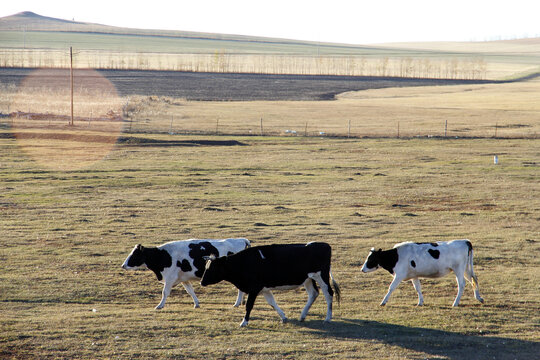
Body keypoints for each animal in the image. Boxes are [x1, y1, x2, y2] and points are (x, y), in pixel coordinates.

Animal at [121, 239, 250, 310]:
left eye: (135, 254)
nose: (123, 265)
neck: (163, 255)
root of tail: (242, 239)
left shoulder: (170, 278)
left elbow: (165, 292)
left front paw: (159, 306)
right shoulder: (183, 279)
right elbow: (190, 291)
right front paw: (196, 304)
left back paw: (236, 303)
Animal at [200, 242, 340, 326]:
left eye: (212, 268)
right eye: (206, 267)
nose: (202, 282)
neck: (244, 263)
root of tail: (323, 245)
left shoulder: (254, 288)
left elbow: (249, 306)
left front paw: (244, 322)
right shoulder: (264, 288)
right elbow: (272, 302)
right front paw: (283, 317)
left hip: (321, 276)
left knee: (329, 293)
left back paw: (328, 318)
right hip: (308, 279)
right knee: (313, 294)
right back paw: (302, 316)